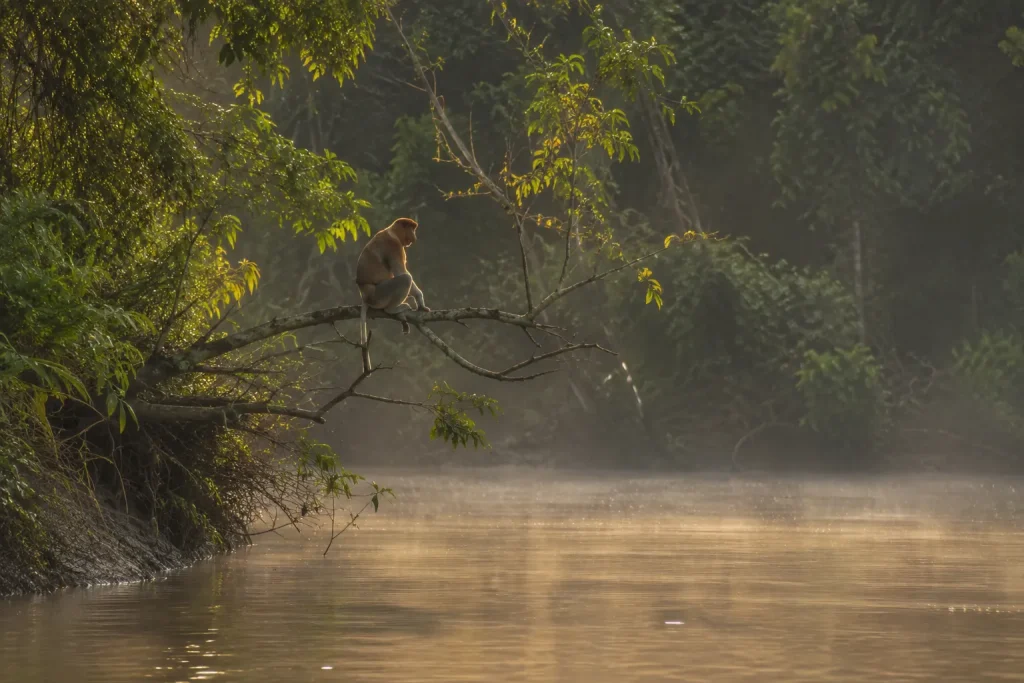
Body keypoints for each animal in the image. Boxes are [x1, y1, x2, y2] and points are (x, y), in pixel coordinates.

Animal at [355, 217, 430, 365]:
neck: (391, 232)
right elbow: (400, 272)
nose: (414, 237)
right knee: (405, 279)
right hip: (380, 295)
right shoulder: (394, 247)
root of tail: (365, 295)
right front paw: (419, 300)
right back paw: (394, 309)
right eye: (412, 229)